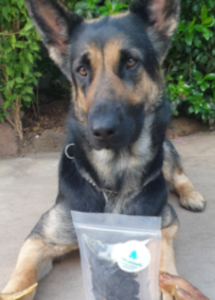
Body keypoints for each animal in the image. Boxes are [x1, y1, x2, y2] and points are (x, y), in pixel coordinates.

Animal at [0, 0, 205, 298]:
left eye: (131, 62)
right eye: (82, 70)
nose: (102, 131)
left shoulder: (166, 224)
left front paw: (172, 286)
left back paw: (192, 195)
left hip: (164, 150)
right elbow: (22, 278)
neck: (114, 183)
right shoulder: (40, 239)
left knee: (179, 176)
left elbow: (164, 255)